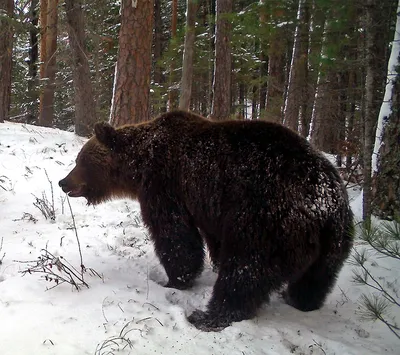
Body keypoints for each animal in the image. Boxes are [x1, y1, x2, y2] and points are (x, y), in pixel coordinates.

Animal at [59, 110, 354, 330]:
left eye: (80, 160)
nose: (63, 182)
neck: (139, 166)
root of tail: (327, 203)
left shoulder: (166, 184)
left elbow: (175, 236)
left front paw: (174, 279)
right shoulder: (210, 206)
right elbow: (212, 240)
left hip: (267, 220)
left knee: (245, 270)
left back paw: (208, 316)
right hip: (334, 243)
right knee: (316, 279)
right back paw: (299, 300)